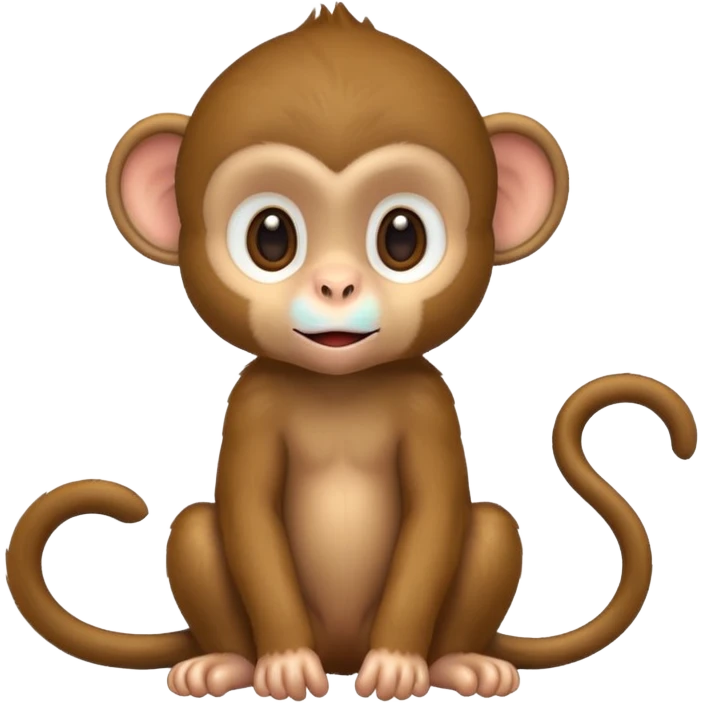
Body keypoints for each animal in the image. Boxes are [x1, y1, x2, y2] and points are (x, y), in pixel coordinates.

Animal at [5, 2, 699, 700]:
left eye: (402, 237)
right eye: (271, 237)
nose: (336, 285)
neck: (339, 386)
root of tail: (341, 653)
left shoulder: (428, 401)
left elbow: (435, 514)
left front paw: (397, 664)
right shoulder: (254, 402)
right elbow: (249, 515)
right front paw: (285, 664)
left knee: (494, 530)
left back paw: (459, 663)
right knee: (198, 530)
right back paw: (226, 663)